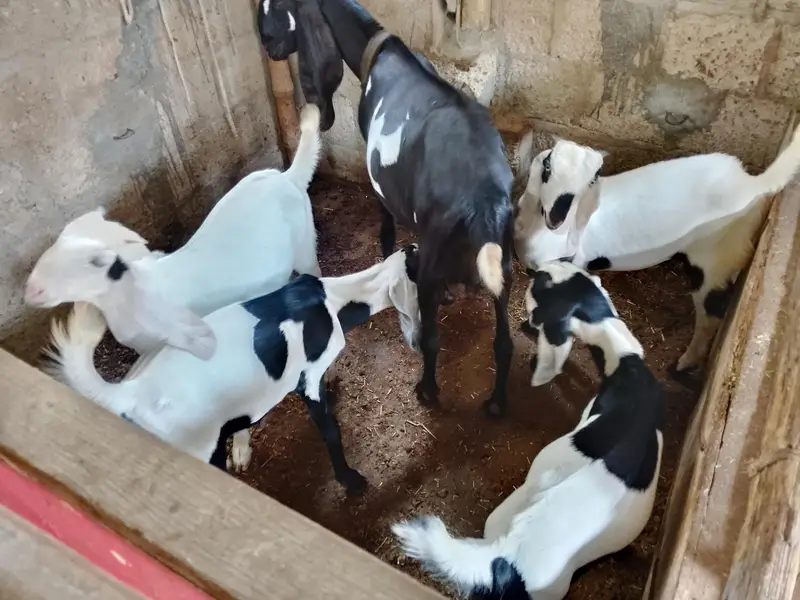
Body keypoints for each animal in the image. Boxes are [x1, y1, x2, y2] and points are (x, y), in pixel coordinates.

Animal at [44, 245, 421, 493]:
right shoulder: (308, 376)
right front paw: (352, 481)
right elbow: (330, 429)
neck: (330, 302)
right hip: (194, 443)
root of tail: (128, 392)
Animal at [258, 0, 515, 417]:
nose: (266, 42)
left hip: (435, 258)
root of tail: (484, 199)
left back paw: (427, 390)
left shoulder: (377, 173)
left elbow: (386, 225)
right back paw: (495, 403)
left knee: (431, 337)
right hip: (503, 263)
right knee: (504, 342)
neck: (378, 52)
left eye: (279, 5)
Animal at [513, 125, 800, 375]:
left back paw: (683, 365)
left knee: (710, 316)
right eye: (547, 164)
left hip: (717, 258)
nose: (557, 219)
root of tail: (753, 183)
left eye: (593, 178)